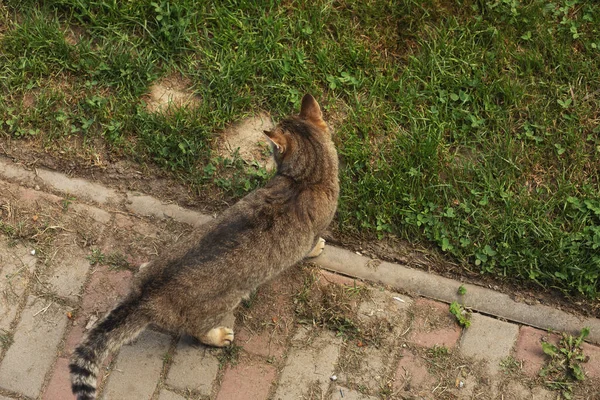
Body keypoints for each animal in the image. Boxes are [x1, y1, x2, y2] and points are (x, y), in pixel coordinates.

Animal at [68, 94, 340, 400]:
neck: (306, 180)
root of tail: (145, 296)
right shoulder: (314, 229)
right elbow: (312, 243)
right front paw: (316, 248)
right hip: (220, 304)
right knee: (197, 330)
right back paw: (218, 336)